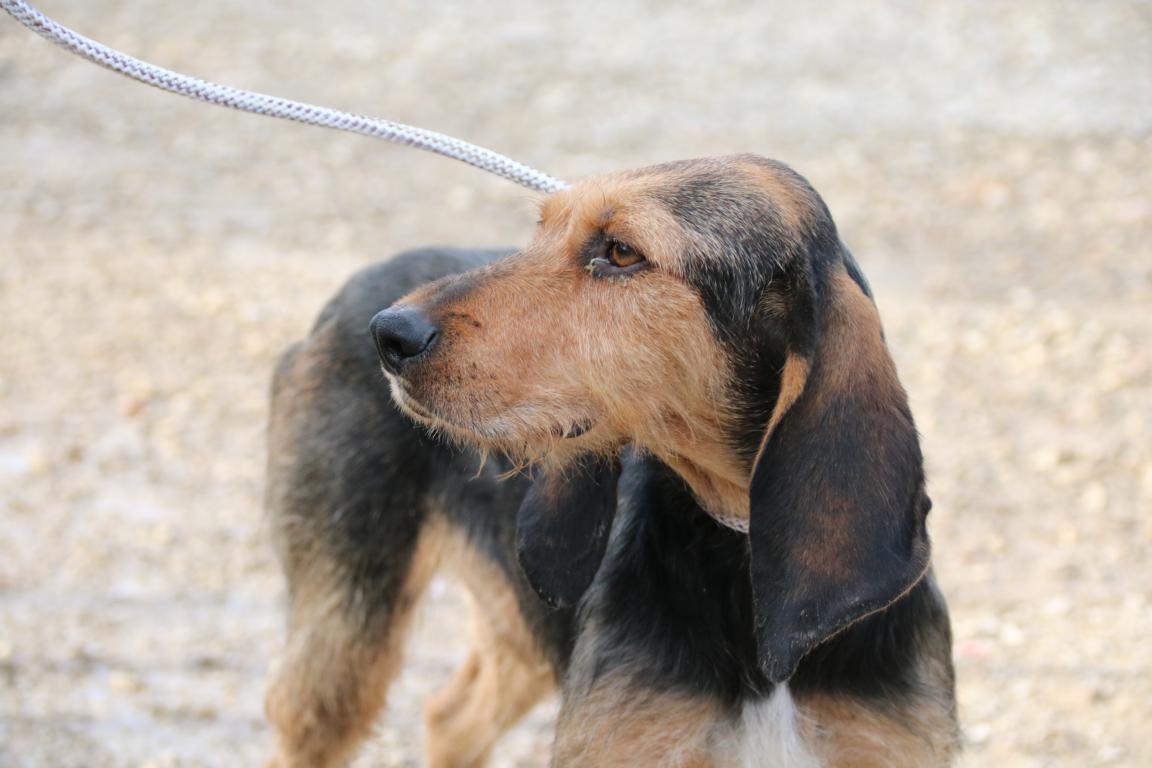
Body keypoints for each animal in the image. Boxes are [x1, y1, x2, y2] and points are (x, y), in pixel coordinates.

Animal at [263, 155, 960, 767]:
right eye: (541, 230)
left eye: (622, 253)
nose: (389, 335)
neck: (740, 553)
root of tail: (353, 290)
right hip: (345, 636)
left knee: (450, 718)